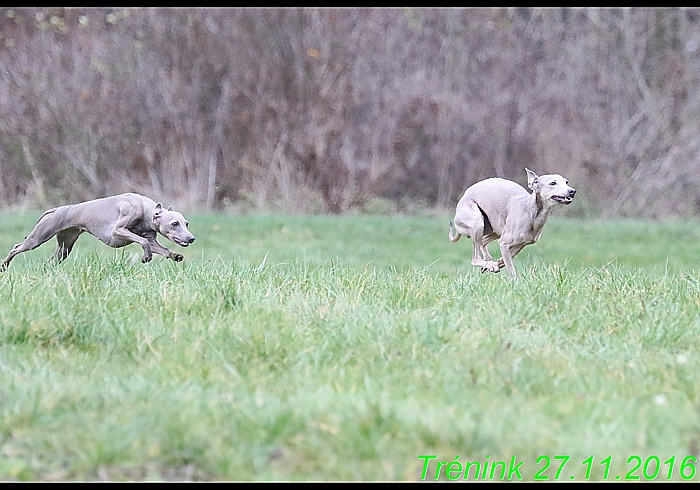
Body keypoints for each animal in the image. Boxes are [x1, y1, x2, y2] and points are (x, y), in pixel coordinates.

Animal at [0, 193, 194, 272]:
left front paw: (175, 255)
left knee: (51, 261)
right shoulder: (118, 230)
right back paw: (4, 266)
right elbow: (144, 242)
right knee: (16, 247)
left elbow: (159, 247)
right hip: (38, 238)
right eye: (174, 223)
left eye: (186, 223)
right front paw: (146, 257)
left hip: (64, 248)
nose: (191, 238)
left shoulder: (152, 240)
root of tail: (56, 210)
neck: (145, 209)